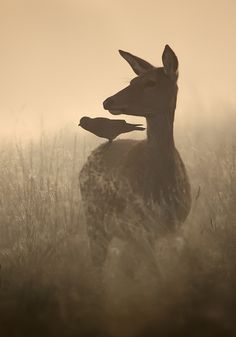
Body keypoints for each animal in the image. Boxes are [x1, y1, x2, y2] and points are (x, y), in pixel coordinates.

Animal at [79, 45, 192, 266]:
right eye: (132, 80)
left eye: (151, 82)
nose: (108, 101)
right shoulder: (139, 228)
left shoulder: (174, 225)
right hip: (94, 222)